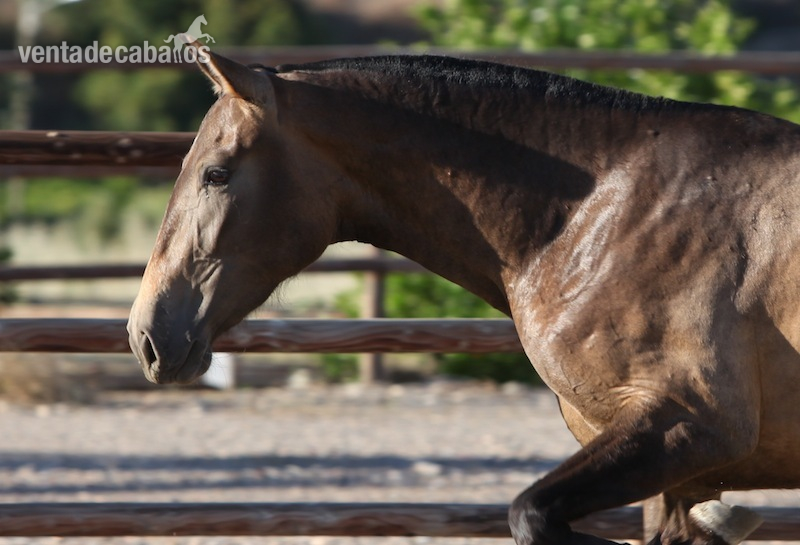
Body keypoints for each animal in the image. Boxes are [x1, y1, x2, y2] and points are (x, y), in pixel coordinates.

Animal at [127, 44, 800, 545]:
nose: (146, 335)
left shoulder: (693, 425)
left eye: (216, 173)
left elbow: (531, 515)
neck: (600, 212)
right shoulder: (680, 468)